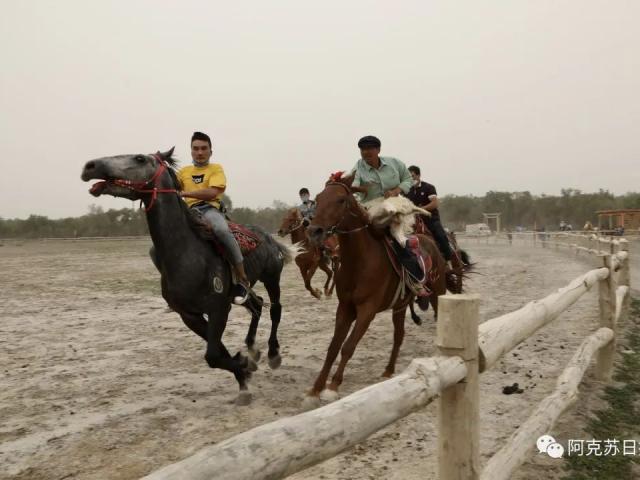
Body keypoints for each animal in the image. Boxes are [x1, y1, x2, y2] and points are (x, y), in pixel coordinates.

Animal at [82, 149, 298, 404]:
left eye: (140, 158)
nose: (90, 166)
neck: (188, 254)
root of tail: (269, 237)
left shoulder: (218, 309)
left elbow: (213, 355)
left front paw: (244, 371)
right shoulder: (189, 315)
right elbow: (218, 351)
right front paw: (244, 370)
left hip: (272, 278)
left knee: (275, 309)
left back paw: (273, 354)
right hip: (244, 290)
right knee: (257, 305)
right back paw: (253, 351)